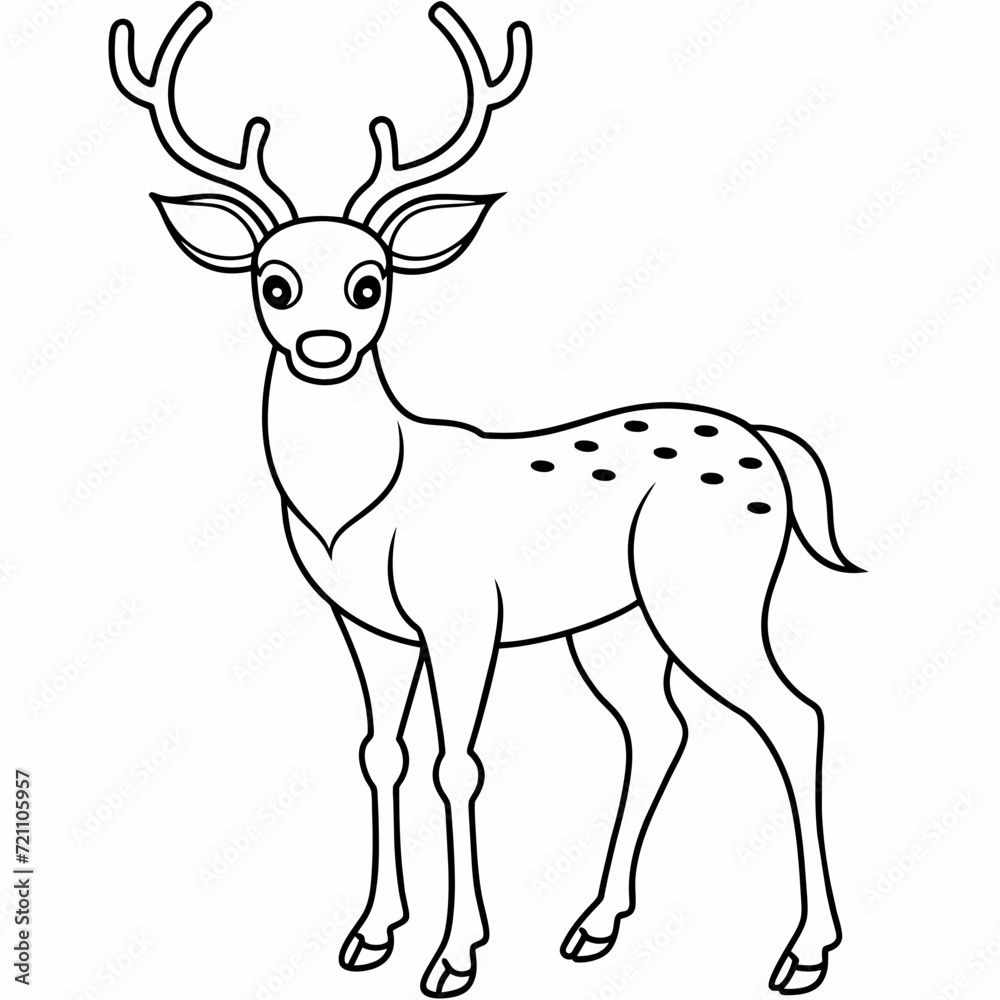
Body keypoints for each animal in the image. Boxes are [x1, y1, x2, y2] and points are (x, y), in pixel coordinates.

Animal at [110, 3, 860, 995]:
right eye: (274, 281)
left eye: (370, 282)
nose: (321, 347)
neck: (357, 510)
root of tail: (769, 450)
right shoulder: (368, 626)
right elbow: (382, 755)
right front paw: (370, 935)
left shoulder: (464, 616)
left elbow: (455, 764)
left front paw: (455, 954)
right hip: (614, 624)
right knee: (658, 729)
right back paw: (596, 925)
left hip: (711, 593)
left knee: (794, 715)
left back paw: (803, 952)